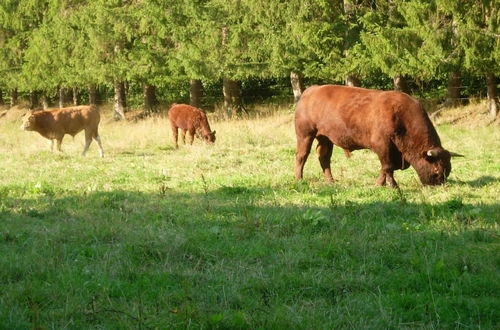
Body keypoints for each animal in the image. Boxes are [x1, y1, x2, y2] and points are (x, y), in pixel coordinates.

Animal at [294, 84, 462, 186]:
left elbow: (386, 168)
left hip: (326, 138)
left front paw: (379, 184)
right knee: (302, 156)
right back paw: (298, 178)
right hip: (305, 135)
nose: (439, 184)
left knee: (324, 157)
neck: (401, 116)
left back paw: (330, 181)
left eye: (448, 170)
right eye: (436, 170)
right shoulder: (382, 145)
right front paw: (392, 185)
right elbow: (387, 166)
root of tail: (311, 90)